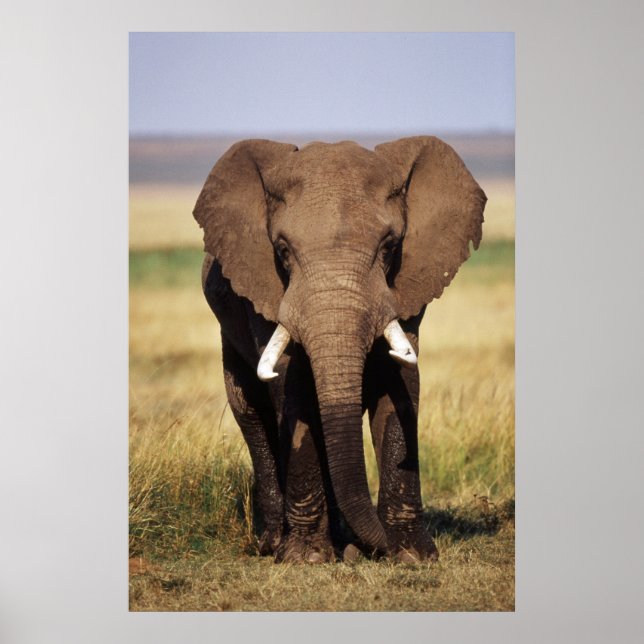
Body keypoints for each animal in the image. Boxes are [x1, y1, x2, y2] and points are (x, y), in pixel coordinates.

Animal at [193, 136, 486, 563]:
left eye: (389, 246)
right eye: (282, 250)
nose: (370, 547)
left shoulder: (406, 287)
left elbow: (400, 385)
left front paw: (409, 555)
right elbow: (293, 389)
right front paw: (308, 558)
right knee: (251, 414)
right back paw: (277, 544)